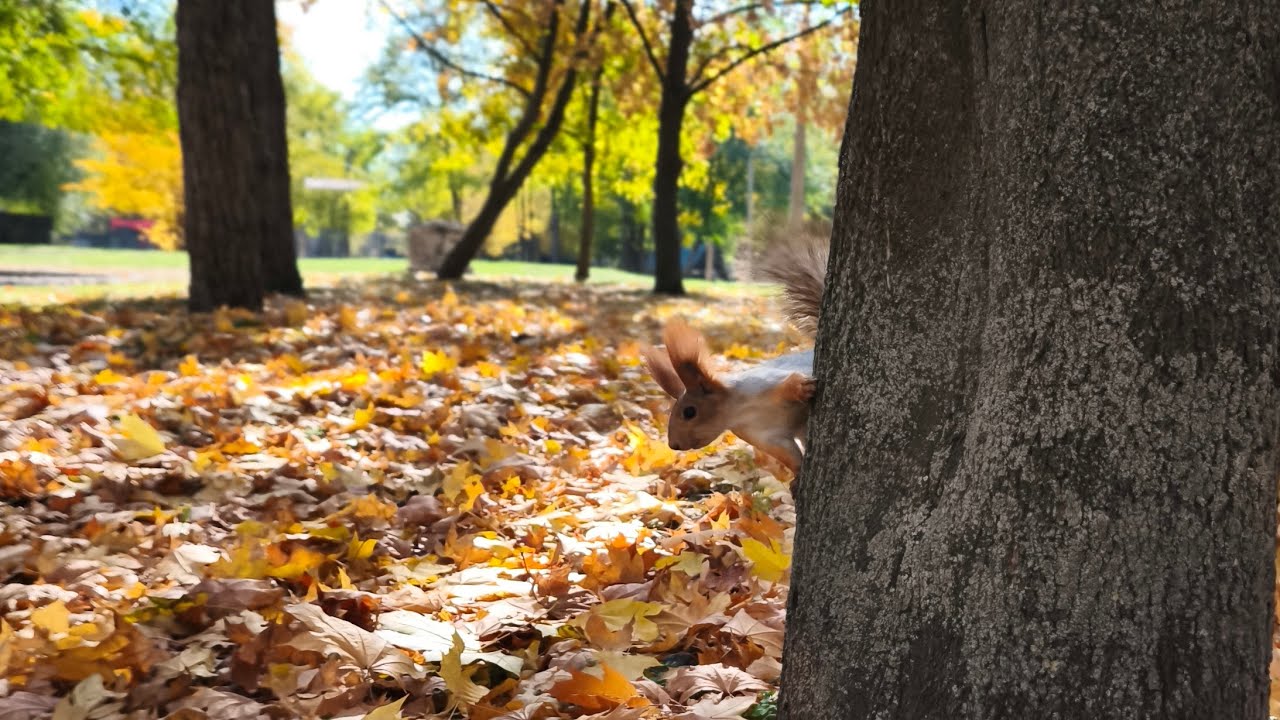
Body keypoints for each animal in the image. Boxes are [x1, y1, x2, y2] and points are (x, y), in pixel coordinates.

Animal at [642, 233, 828, 474]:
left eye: (689, 412)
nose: (674, 444)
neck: (740, 410)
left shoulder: (764, 382)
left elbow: (788, 383)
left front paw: (800, 387)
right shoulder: (765, 436)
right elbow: (787, 455)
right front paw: (797, 476)